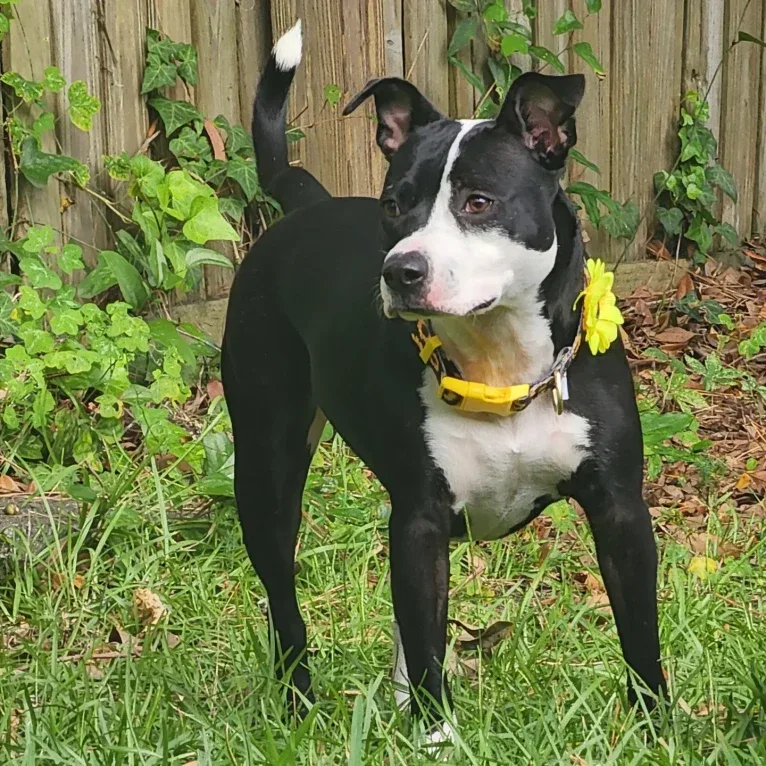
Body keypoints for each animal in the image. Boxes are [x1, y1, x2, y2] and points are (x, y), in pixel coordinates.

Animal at [222, 21, 664, 744]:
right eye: (394, 205)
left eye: (477, 202)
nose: (401, 270)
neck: (500, 361)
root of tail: (305, 204)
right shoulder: (422, 521)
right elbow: (430, 645)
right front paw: (436, 738)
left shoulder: (621, 513)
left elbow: (641, 639)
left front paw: (656, 733)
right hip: (267, 468)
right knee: (285, 602)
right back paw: (298, 701)